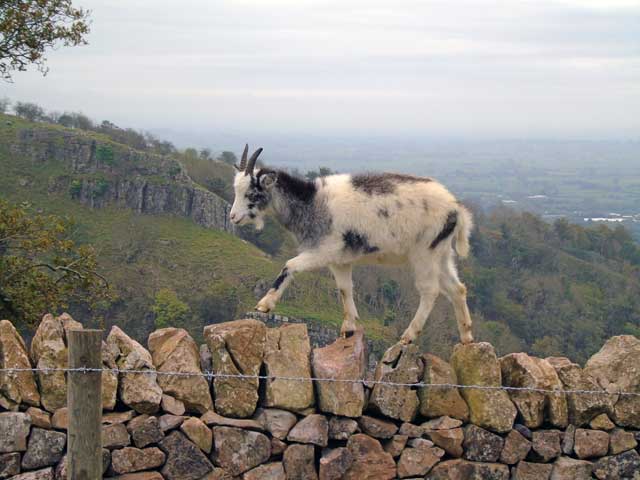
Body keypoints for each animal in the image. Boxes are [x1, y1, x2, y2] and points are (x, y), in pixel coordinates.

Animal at [229, 145, 474, 345]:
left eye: (252, 193)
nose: (233, 217)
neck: (313, 202)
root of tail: (456, 208)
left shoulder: (323, 251)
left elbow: (289, 265)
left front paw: (264, 304)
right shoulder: (339, 260)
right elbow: (345, 289)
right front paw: (349, 327)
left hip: (425, 251)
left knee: (430, 290)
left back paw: (409, 335)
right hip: (441, 252)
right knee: (457, 289)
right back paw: (466, 337)